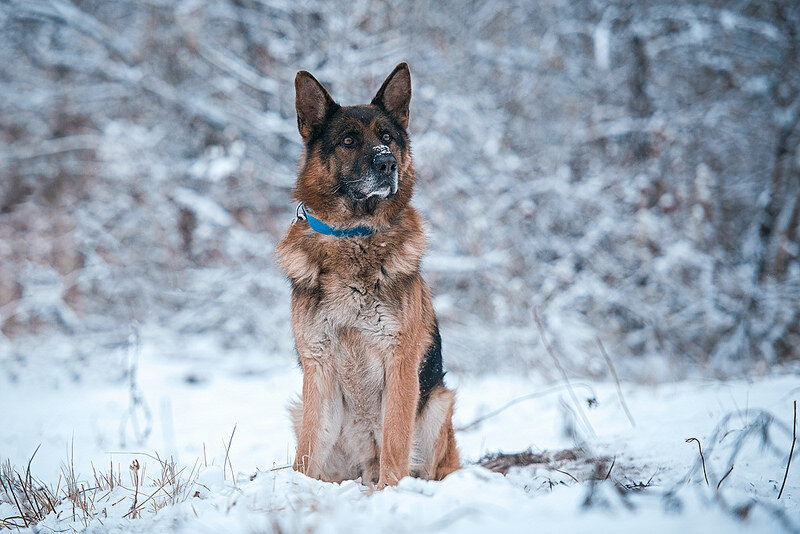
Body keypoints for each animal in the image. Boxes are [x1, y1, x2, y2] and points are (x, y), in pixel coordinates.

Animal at [276, 63, 460, 490]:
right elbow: (306, 452)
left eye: (387, 138)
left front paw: (390, 493)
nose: (387, 163)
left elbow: (395, 440)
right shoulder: (319, 367)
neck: (354, 235)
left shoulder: (401, 362)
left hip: (438, 405)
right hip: (303, 411)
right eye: (348, 140)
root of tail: (363, 469)